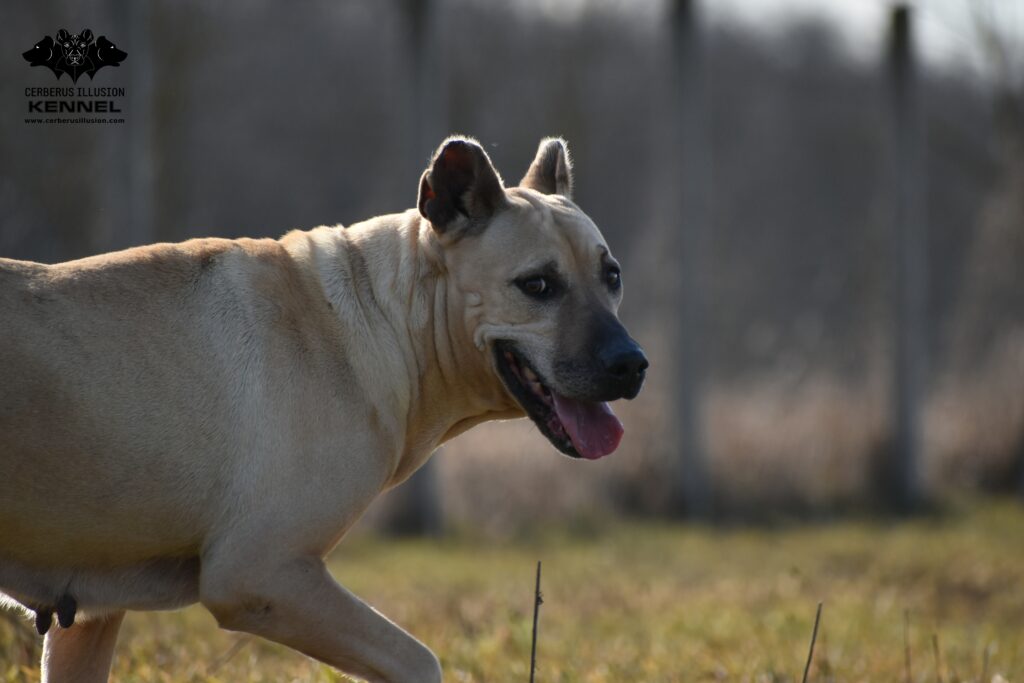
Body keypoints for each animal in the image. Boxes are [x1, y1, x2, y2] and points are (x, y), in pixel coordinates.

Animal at [0, 136, 647, 679]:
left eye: (612, 276)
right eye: (537, 286)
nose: (633, 364)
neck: (386, 318)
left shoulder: (89, 617)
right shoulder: (264, 574)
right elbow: (418, 661)